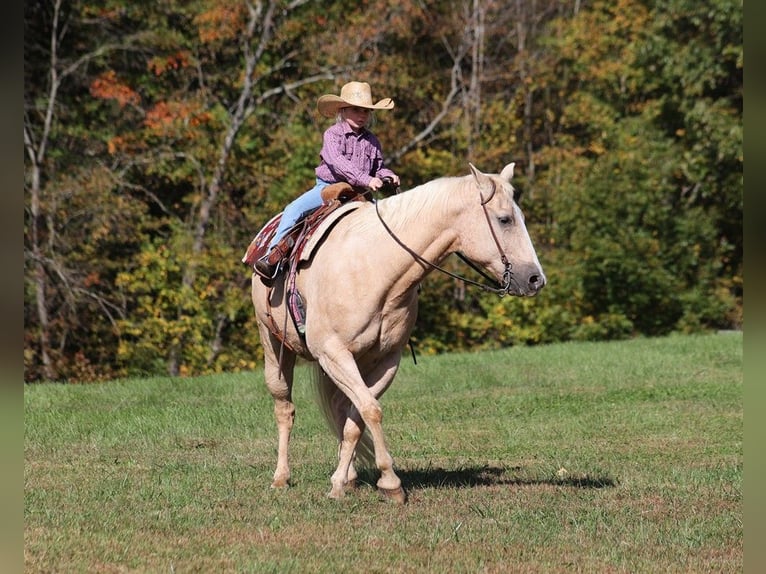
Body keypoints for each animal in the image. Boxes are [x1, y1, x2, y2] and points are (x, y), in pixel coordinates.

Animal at [249, 162, 546, 503]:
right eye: (504, 219)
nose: (536, 279)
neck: (377, 267)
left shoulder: (385, 360)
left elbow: (358, 416)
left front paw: (340, 483)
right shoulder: (333, 353)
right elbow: (371, 411)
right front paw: (391, 483)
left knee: (339, 410)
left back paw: (348, 476)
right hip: (273, 345)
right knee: (285, 409)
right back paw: (281, 477)